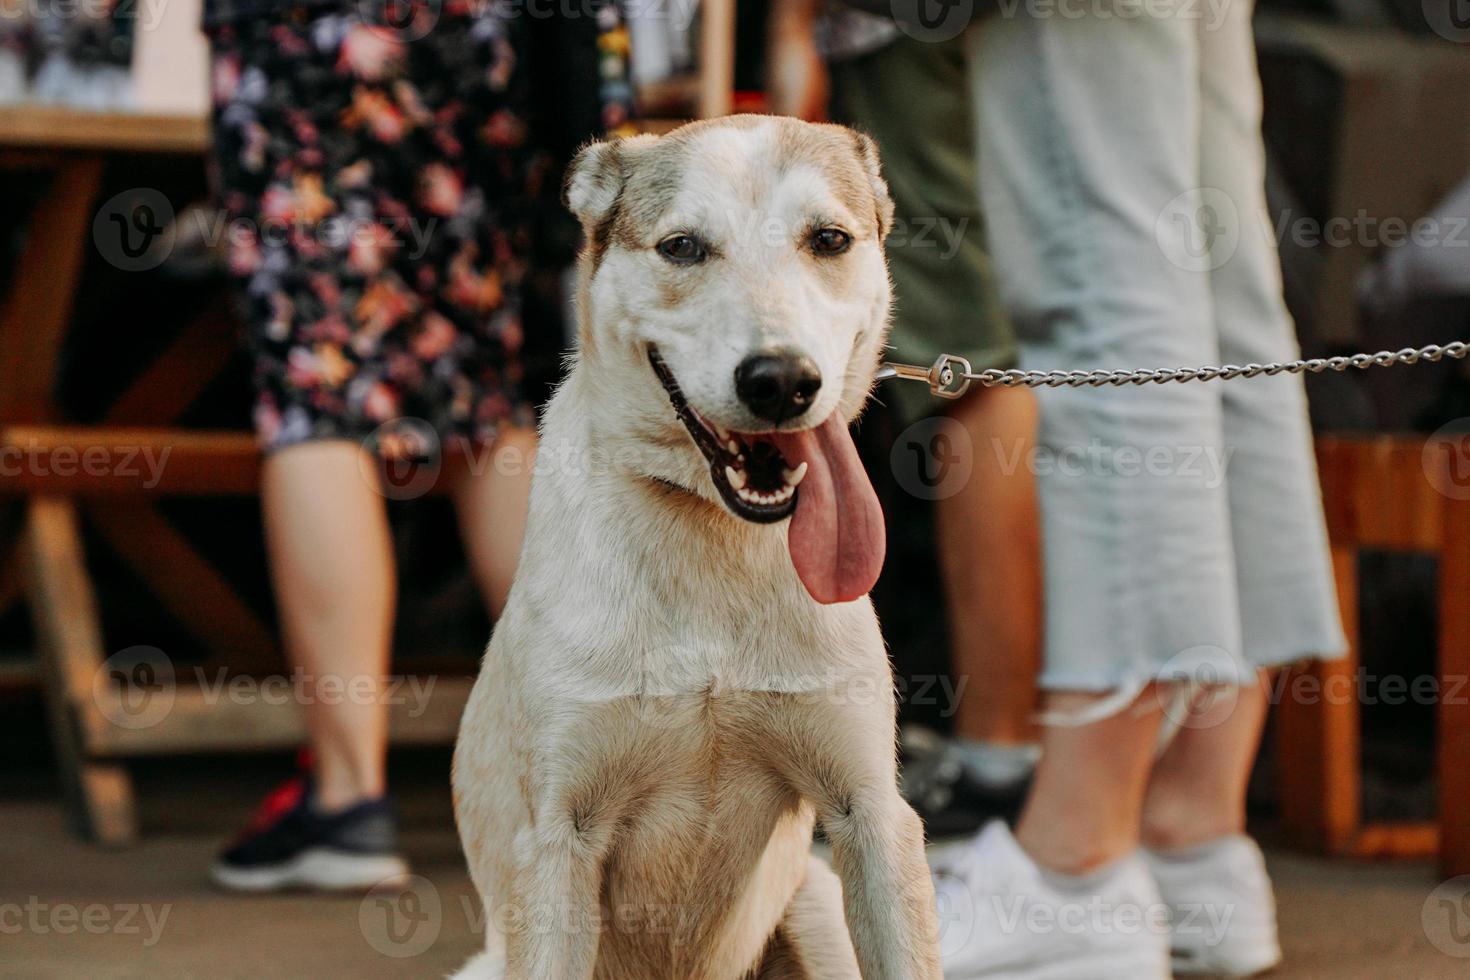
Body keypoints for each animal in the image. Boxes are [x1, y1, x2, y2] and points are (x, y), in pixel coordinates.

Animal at [446, 116, 946, 980]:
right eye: (681, 247)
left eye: (829, 239)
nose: (780, 382)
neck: (716, 541)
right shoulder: (559, 837)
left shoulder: (872, 815)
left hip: (815, 899)